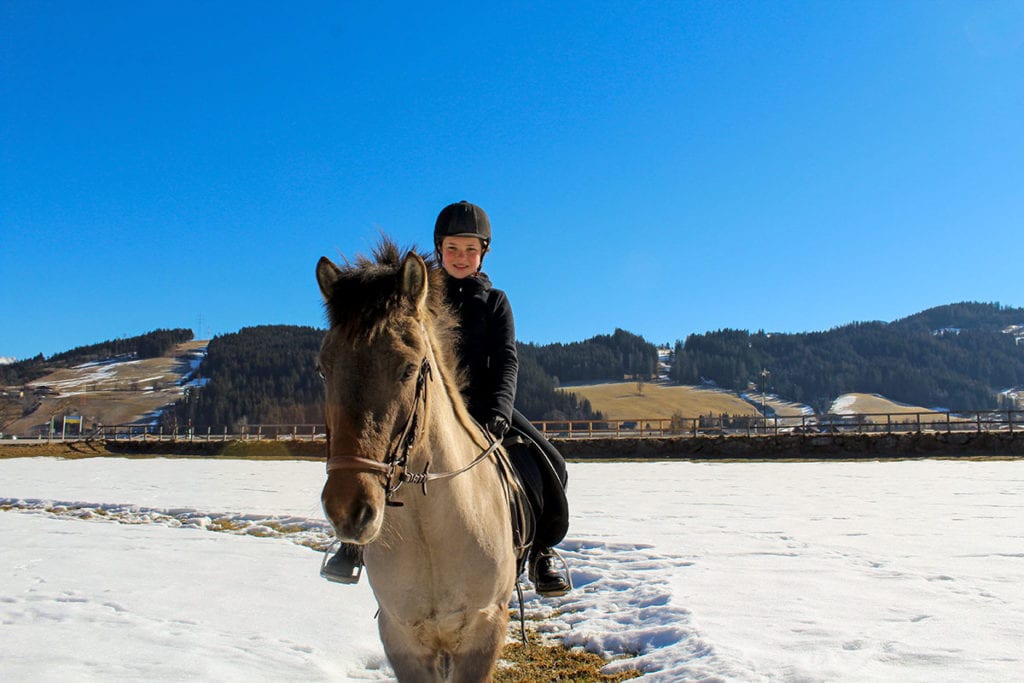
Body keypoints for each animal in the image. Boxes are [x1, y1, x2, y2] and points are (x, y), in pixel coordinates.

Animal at [313, 241, 524, 683]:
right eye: (323, 369)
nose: (346, 509)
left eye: (408, 368)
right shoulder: (402, 636)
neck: (429, 531)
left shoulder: (484, 630)